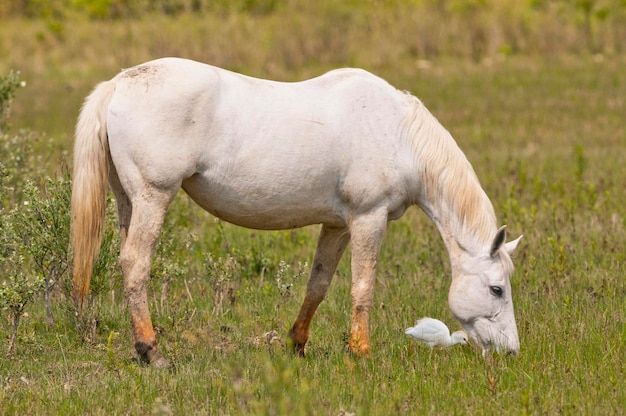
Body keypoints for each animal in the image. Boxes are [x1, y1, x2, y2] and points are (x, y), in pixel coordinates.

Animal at [70, 57, 520, 366]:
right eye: (496, 288)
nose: (511, 352)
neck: (398, 134)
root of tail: (119, 83)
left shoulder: (338, 226)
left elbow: (318, 285)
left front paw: (297, 344)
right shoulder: (368, 219)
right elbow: (362, 287)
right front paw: (362, 352)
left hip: (129, 201)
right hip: (154, 196)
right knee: (135, 263)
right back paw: (151, 351)